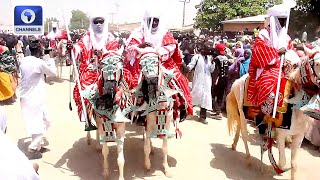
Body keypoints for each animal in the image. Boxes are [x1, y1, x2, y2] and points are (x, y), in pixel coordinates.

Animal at [226, 48, 316, 179]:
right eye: (316, 63)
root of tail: (238, 80)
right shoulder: (282, 134)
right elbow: (283, 162)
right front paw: (275, 168)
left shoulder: (299, 136)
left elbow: (294, 165)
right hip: (243, 113)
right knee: (244, 134)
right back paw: (248, 159)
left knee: (239, 127)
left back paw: (234, 145)